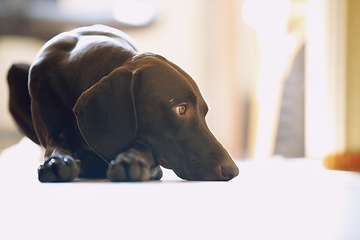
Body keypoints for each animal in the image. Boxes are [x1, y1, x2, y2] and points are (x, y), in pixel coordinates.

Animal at [6, 24, 239, 182]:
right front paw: (57, 161)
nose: (233, 170)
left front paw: (131, 160)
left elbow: (142, 146)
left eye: (205, 113)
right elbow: (55, 147)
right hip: (14, 72)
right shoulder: (54, 134)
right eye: (181, 109)